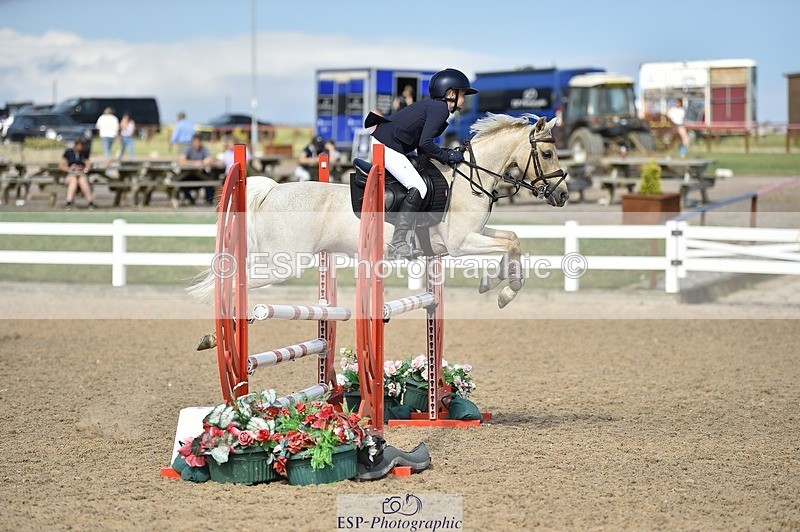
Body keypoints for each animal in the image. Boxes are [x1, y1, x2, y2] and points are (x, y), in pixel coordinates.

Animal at [189, 113, 568, 320]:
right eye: (548, 154)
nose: (563, 195)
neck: (468, 179)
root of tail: (273, 190)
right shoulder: (461, 244)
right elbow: (509, 246)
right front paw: (502, 290)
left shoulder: (475, 235)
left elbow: (513, 242)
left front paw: (497, 287)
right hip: (286, 263)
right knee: (230, 282)